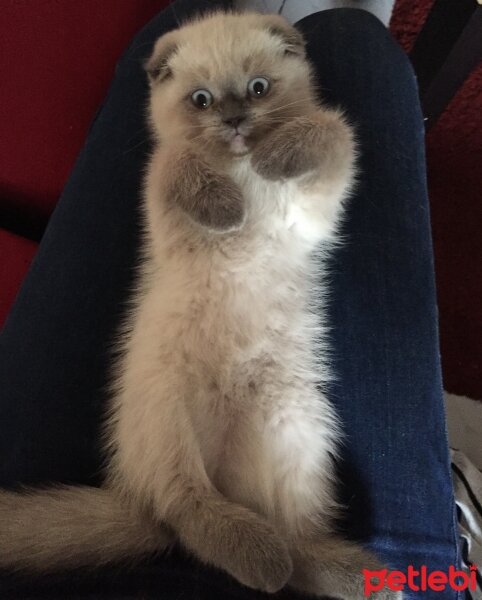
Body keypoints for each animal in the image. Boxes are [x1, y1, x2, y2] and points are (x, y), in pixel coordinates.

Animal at [0, 10, 400, 600]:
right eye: (201, 100)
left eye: (258, 88)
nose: (234, 121)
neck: (239, 168)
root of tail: (228, 464)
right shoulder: (161, 201)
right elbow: (176, 163)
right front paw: (225, 207)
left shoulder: (316, 203)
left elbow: (329, 129)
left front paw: (275, 157)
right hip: (167, 416)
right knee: (182, 511)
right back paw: (262, 557)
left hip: (301, 431)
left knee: (290, 540)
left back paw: (350, 574)